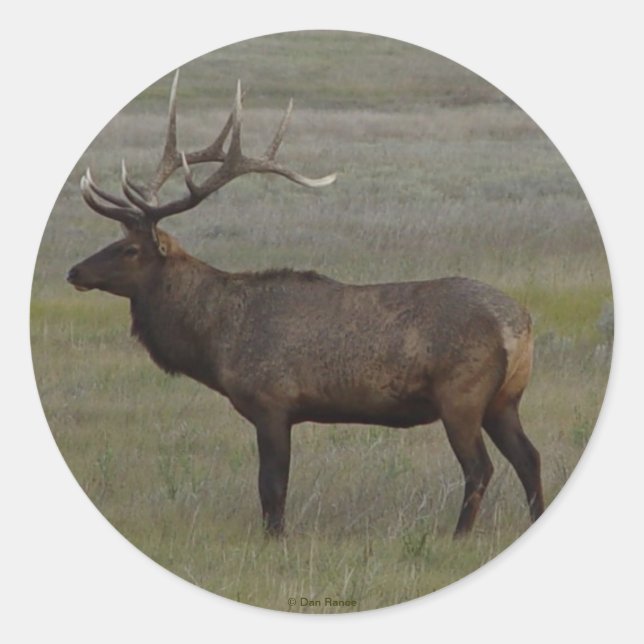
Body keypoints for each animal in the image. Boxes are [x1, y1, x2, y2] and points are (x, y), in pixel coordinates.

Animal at [67, 70, 544, 537]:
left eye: (130, 249)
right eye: (115, 240)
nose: (74, 272)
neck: (216, 342)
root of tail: (520, 324)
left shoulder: (272, 403)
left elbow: (272, 488)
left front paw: (274, 541)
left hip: (461, 395)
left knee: (479, 468)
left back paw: (457, 536)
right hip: (505, 399)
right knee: (530, 458)